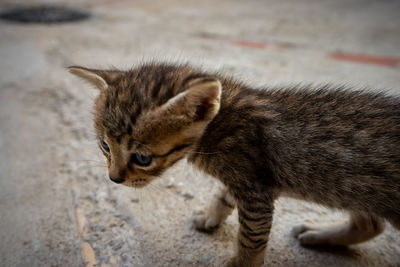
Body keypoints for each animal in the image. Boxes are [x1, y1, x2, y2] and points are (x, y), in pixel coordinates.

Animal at [69, 63, 400, 267]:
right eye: (104, 146)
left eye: (142, 158)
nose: (114, 179)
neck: (221, 121)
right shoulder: (248, 180)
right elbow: (223, 195)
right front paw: (211, 215)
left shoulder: (255, 189)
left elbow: (252, 237)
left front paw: (241, 263)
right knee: (371, 223)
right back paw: (323, 235)